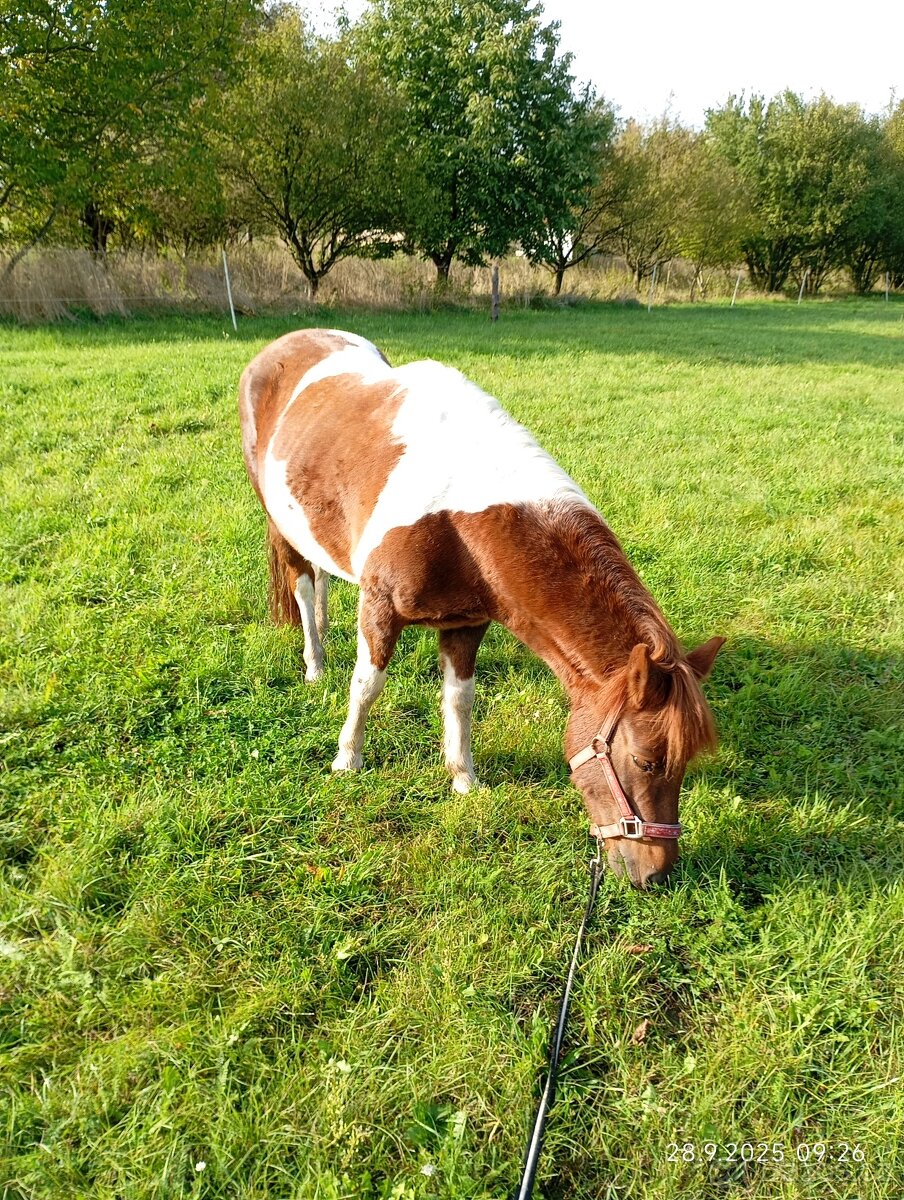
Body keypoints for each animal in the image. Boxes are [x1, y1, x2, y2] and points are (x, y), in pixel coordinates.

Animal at [239, 328, 723, 888]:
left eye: (685, 765)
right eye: (646, 762)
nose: (656, 874)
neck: (459, 516)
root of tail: (280, 346)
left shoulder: (467, 624)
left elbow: (459, 699)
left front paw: (463, 779)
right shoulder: (380, 604)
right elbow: (367, 685)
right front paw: (348, 759)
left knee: (319, 578)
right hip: (278, 522)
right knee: (301, 584)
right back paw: (315, 663)